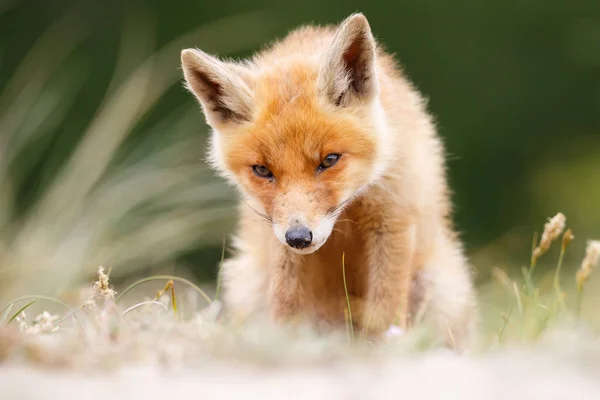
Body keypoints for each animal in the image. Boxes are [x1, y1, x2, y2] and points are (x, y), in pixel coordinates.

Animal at [180, 12, 476, 348]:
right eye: (262, 170)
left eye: (329, 160)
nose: (298, 237)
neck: (349, 211)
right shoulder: (278, 239)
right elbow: (285, 306)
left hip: (438, 285)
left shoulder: (393, 219)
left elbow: (386, 310)